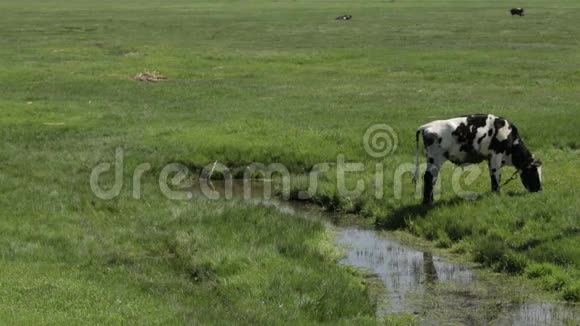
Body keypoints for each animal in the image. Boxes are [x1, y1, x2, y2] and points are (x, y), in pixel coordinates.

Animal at [412, 114, 544, 205]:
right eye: (533, 172)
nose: (540, 190)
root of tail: (427, 126)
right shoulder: (496, 155)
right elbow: (496, 176)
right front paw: (497, 193)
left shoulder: (490, 158)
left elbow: (493, 176)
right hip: (435, 159)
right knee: (429, 177)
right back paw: (428, 203)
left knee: (432, 178)